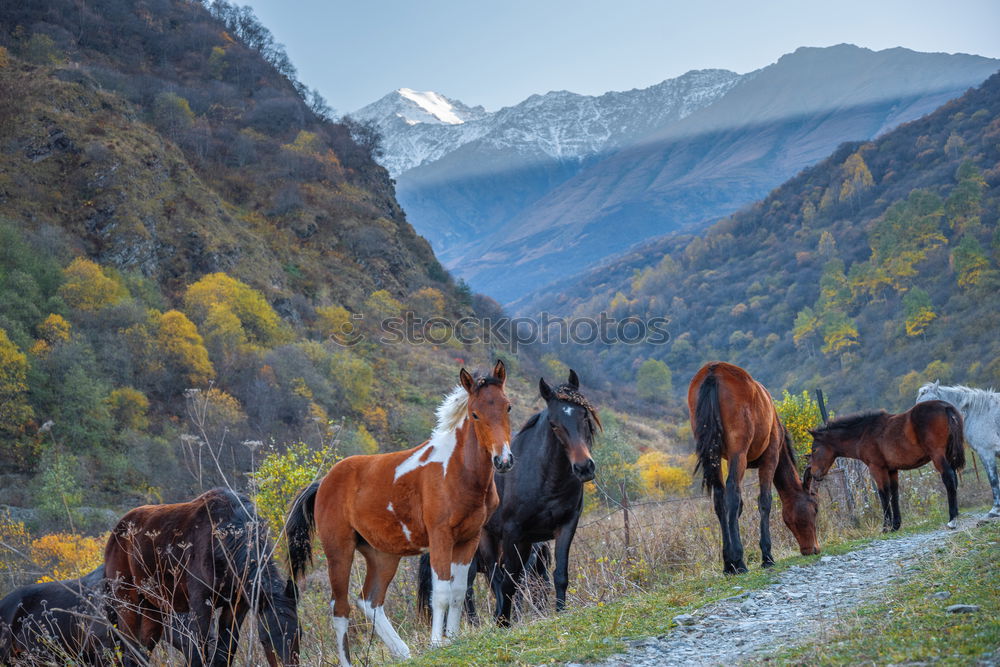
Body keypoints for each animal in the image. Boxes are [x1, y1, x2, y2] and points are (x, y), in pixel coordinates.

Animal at [106, 488, 300, 664]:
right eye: (265, 639)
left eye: (299, 633)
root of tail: (115, 533)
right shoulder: (200, 603)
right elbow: (198, 653)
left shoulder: (237, 605)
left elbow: (224, 652)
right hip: (127, 602)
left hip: (153, 608)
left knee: (141, 652)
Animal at [286, 362, 512, 664]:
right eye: (475, 414)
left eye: (507, 407)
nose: (503, 460)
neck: (457, 471)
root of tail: (323, 482)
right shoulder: (440, 538)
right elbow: (441, 592)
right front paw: (437, 644)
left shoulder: (468, 539)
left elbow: (458, 591)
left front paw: (452, 638)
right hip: (339, 550)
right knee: (340, 608)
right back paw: (351, 661)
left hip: (382, 555)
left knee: (369, 600)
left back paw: (403, 652)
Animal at [416, 370, 596, 628]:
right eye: (554, 424)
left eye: (584, 415)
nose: (584, 467)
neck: (544, 479)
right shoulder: (512, 534)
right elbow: (507, 584)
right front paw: (503, 621)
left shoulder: (564, 526)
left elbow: (559, 574)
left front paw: (560, 612)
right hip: (482, 544)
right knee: (482, 585)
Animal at [688, 362, 820, 576]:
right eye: (815, 509)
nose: (814, 549)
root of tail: (713, 371)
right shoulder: (770, 457)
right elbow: (764, 501)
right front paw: (767, 556)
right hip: (739, 453)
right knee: (732, 494)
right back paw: (739, 561)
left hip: (714, 455)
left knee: (720, 499)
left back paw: (729, 564)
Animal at [800, 402, 964, 532]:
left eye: (814, 449)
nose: (814, 474)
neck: (864, 433)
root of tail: (945, 406)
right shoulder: (892, 470)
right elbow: (894, 493)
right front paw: (896, 525)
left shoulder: (877, 468)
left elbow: (883, 494)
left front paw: (885, 527)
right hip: (949, 455)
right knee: (954, 478)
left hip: (938, 456)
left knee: (949, 478)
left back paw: (952, 520)